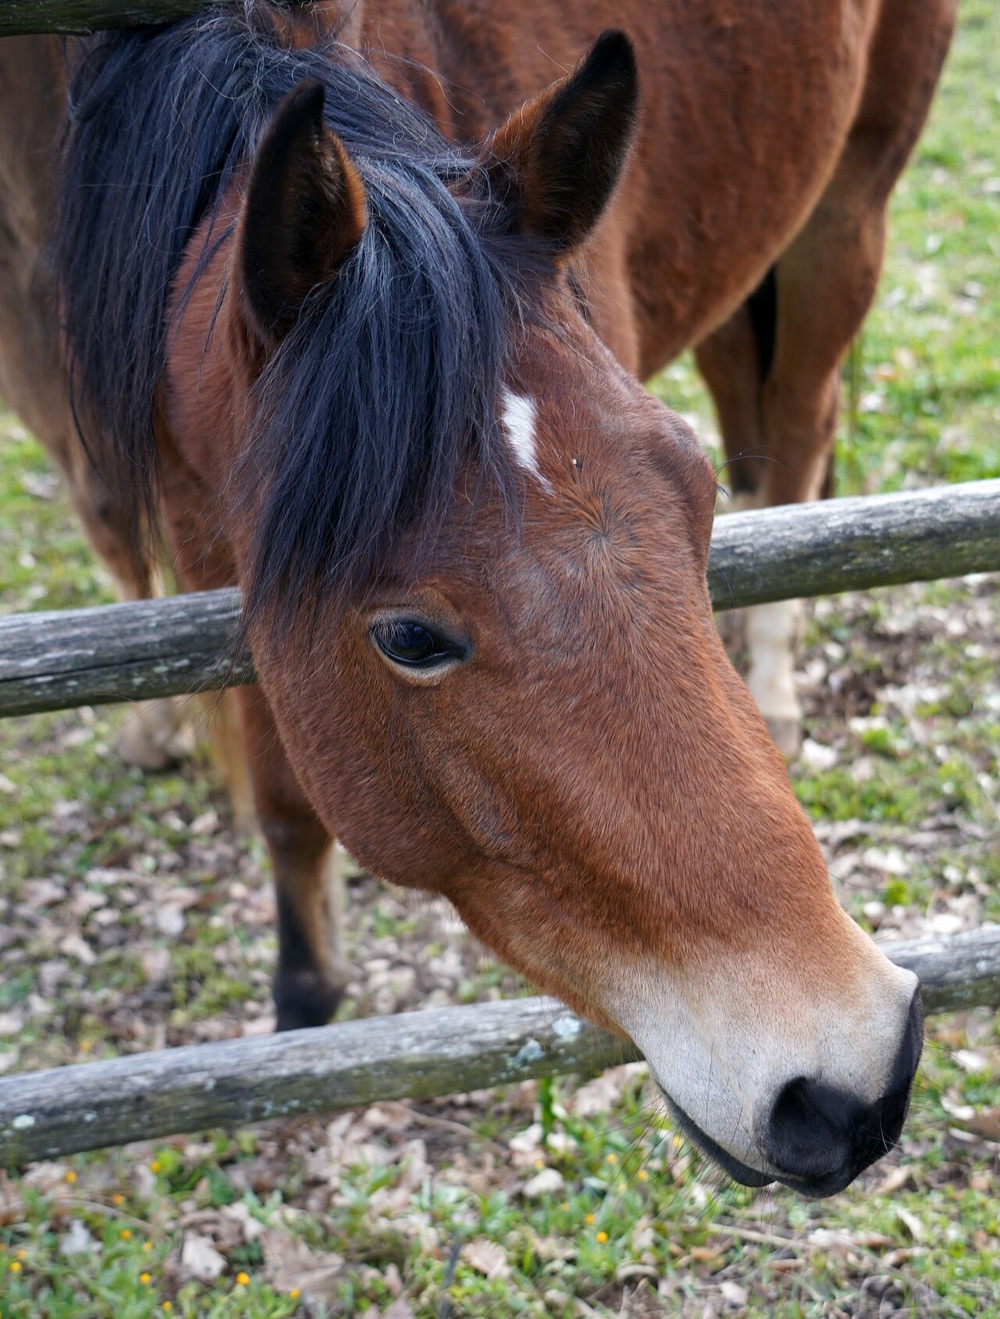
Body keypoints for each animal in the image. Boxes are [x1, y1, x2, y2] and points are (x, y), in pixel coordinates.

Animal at [0, 0, 943, 1196]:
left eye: (691, 505)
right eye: (409, 637)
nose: (852, 1078)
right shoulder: (207, 541)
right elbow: (275, 790)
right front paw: (301, 1001)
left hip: (846, 211)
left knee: (800, 420)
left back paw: (771, 676)